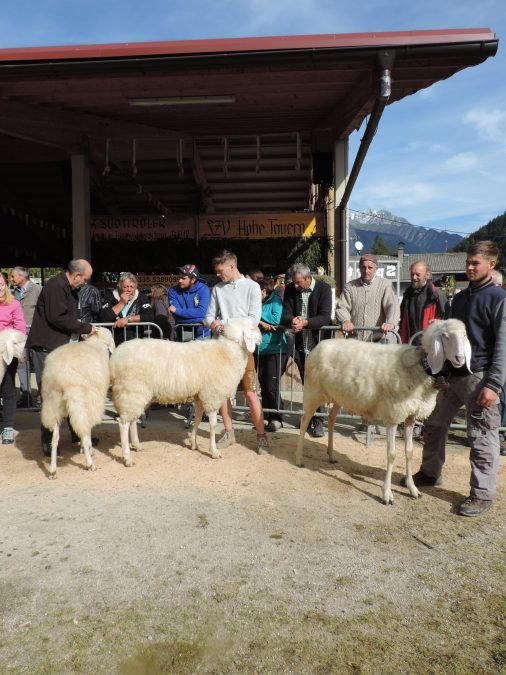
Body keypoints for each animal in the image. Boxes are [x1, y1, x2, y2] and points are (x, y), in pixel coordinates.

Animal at [40, 326, 115, 476]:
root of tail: (62, 376)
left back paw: (52, 469)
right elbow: (87, 429)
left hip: (53, 403)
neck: (95, 344)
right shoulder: (92, 401)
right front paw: (88, 449)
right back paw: (90, 463)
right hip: (78, 399)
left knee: (54, 439)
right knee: (83, 429)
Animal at [110, 318, 260, 468]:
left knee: (132, 420)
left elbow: (197, 420)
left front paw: (194, 443)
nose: (261, 338)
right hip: (131, 390)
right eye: (252, 328)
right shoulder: (212, 396)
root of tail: (115, 357)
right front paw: (214, 451)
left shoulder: (200, 397)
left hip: (136, 394)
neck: (228, 352)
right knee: (123, 423)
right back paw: (127, 458)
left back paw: (136, 445)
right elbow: (213, 425)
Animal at [296, 320, 470, 504]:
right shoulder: (393, 414)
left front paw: (412, 488)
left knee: (331, 419)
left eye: (465, 335)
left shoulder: (410, 415)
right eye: (445, 336)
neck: (420, 368)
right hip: (313, 391)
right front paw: (387, 494)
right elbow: (391, 454)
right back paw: (299, 458)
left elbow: (410, 452)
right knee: (304, 420)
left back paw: (331, 455)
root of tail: (318, 345)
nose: (460, 359)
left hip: (338, 396)